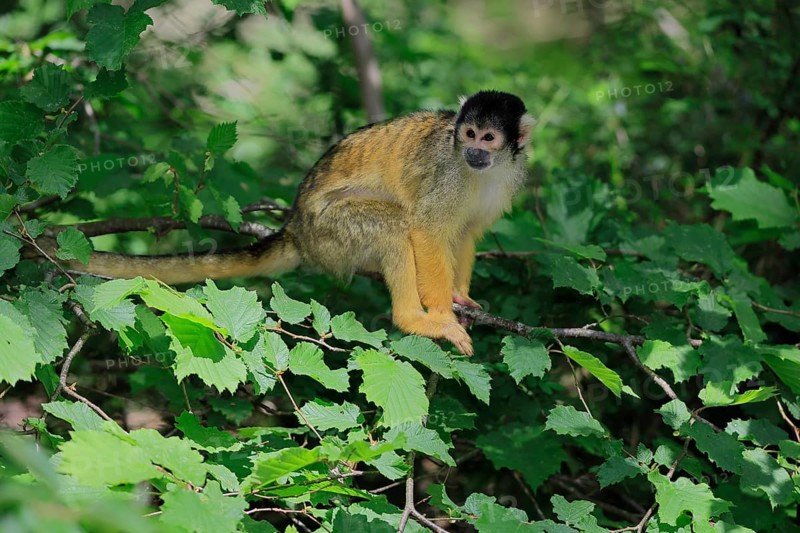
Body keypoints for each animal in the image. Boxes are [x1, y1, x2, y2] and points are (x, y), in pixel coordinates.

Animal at [56, 90, 536, 355]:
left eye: (489, 138)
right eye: (469, 134)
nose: (473, 150)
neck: (484, 170)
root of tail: (297, 230)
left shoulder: (510, 176)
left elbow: (466, 232)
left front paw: (460, 295)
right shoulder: (448, 173)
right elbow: (427, 229)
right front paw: (440, 312)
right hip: (331, 234)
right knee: (394, 224)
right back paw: (412, 318)